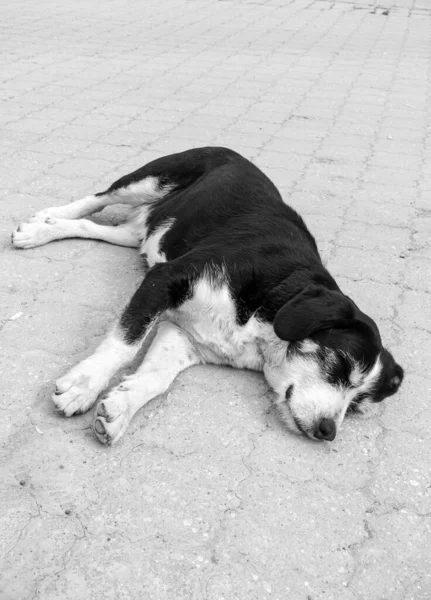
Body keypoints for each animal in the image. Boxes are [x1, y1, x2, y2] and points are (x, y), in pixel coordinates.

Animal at [12, 146, 404, 446]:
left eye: (358, 405)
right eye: (340, 365)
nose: (328, 431)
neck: (266, 312)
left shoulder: (182, 336)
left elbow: (156, 378)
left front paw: (121, 408)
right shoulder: (165, 278)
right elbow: (124, 345)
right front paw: (84, 385)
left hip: (145, 233)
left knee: (92, 227)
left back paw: (45, 229)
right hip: (150, 179)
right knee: (96, 200)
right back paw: (45, 218)